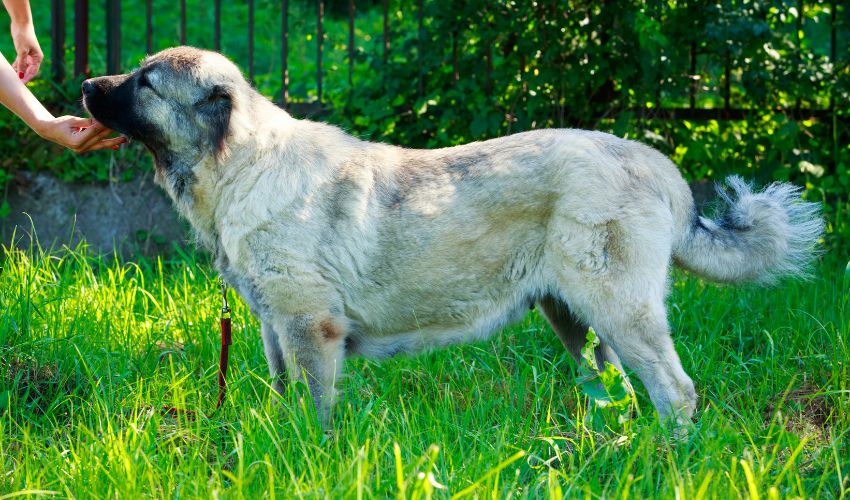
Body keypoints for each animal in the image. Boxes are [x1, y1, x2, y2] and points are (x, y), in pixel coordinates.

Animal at [81, 46, 820, 426]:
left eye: (146, 82)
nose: (87, 82)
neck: (241, 165)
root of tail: (657, 165)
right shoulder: (274, 328)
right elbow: (284, 393)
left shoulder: (309, 327)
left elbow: (318, 408)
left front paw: (310, 453)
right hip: (576, 319)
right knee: (618, 387)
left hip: (619, 310)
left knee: (676, 391)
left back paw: (670, 458)